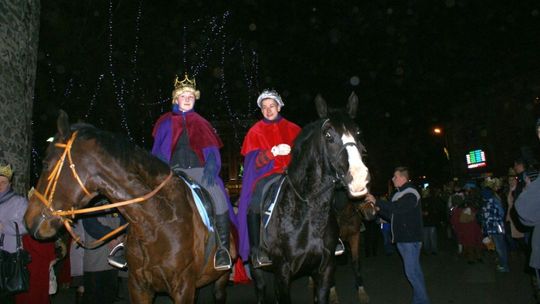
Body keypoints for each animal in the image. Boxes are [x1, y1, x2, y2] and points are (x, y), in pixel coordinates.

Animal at [23, 112, 234, 304]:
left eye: (45, 163)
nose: (28, 220)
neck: (156, 222)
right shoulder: (139, 287)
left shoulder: (183, 287)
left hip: (220, 280)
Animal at [250, 93, 370, 304]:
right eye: (328, 135)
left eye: (358, 132)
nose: (358, 178)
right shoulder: (283, 273)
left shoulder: (324, 269)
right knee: (261, 288)